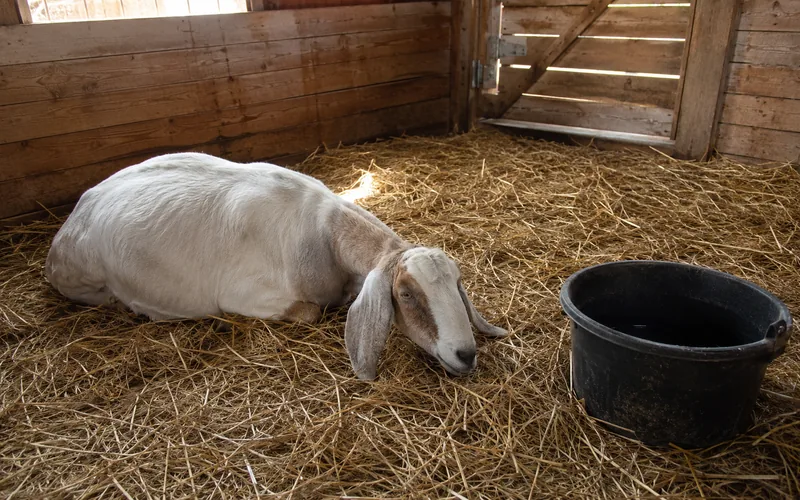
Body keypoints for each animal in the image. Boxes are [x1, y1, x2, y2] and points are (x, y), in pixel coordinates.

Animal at [45, 153, 508, 379]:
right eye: (406, 294)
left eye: (458, 284)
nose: (466, 354)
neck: (322, 233)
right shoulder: (247, 295)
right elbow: (310, 312)